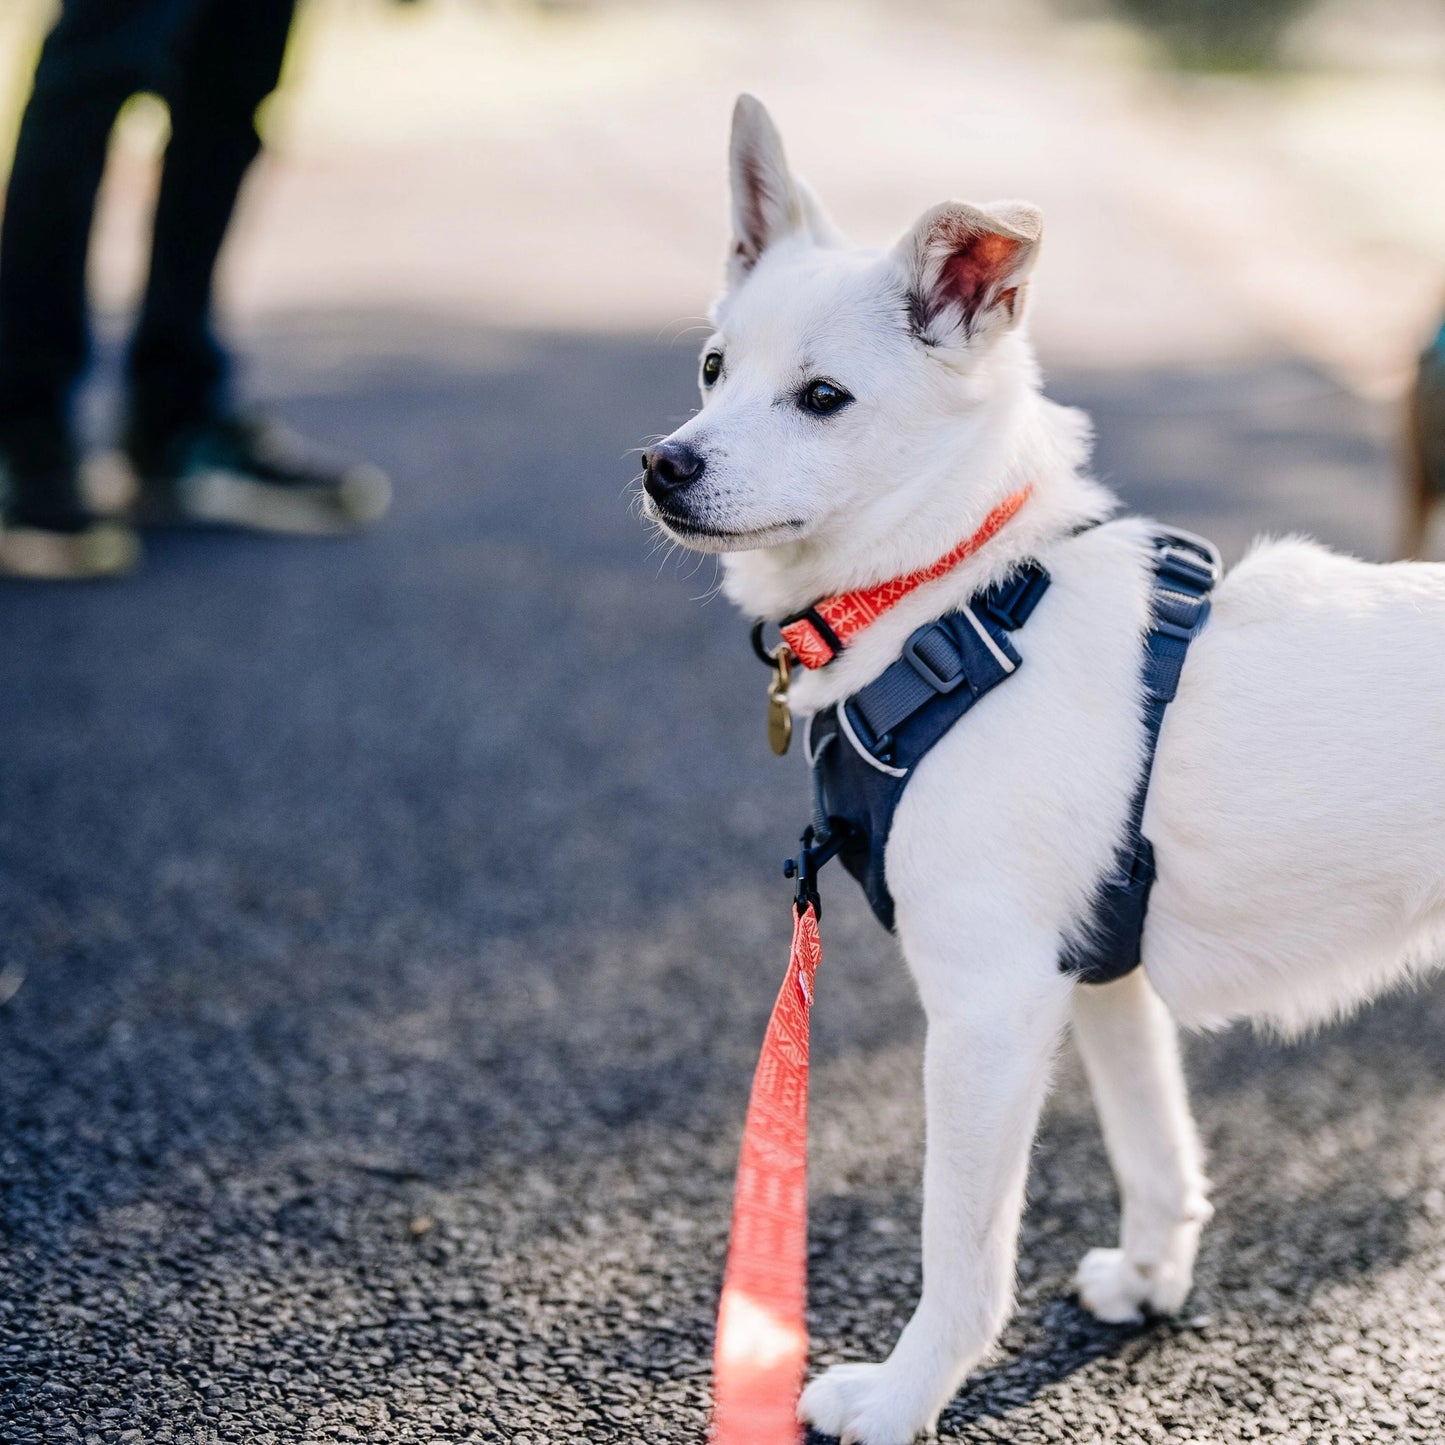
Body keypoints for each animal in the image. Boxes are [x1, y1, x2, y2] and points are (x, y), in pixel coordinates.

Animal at [638, 93, 1445, 1445]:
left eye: (821, 396)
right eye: (711, 369)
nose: (663, 464)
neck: (949, 594)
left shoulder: (987, 1007)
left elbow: (960, 1250)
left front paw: (902, 1393)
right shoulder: (1100, 977)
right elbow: (1155, 1152)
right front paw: (1154, 1277)